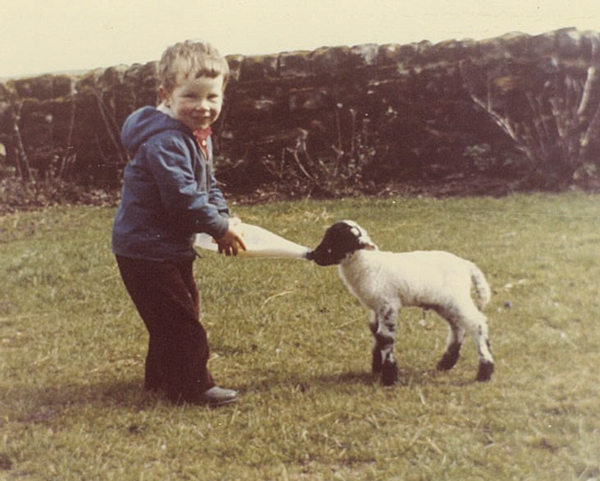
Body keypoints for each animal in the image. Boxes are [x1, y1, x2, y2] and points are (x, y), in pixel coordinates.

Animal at [308, 219, 494, 384]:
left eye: (338, 239)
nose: (314, 255)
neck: (368, 265)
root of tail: (467, 265)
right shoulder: (377, 307)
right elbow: (375, 332)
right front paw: (377, 366)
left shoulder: (388, 304)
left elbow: (385, 337)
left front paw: (389, 376)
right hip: (445, 303)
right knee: (458, 327)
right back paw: (446, 363)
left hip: (457, 298)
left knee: (477, 324)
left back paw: (485, 371)